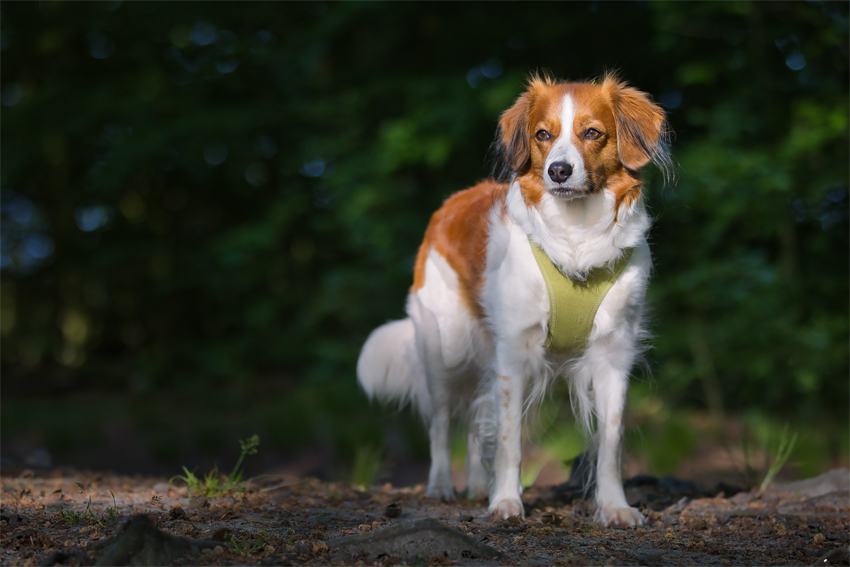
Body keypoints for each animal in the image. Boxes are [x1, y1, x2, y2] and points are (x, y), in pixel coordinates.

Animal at [356, 72, 668, 528]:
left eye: (593, 133)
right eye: (543, 135)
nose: (559, 170)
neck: (576, 240)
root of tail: (449, 203)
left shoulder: (614, 353)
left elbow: (610, 441)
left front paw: (615, 507)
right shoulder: (514, 353)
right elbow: (508, 440)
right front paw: (506, 502)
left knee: (475, 419)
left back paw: (475, 487)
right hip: (444, 351)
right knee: (441, 423)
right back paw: (442, 486)